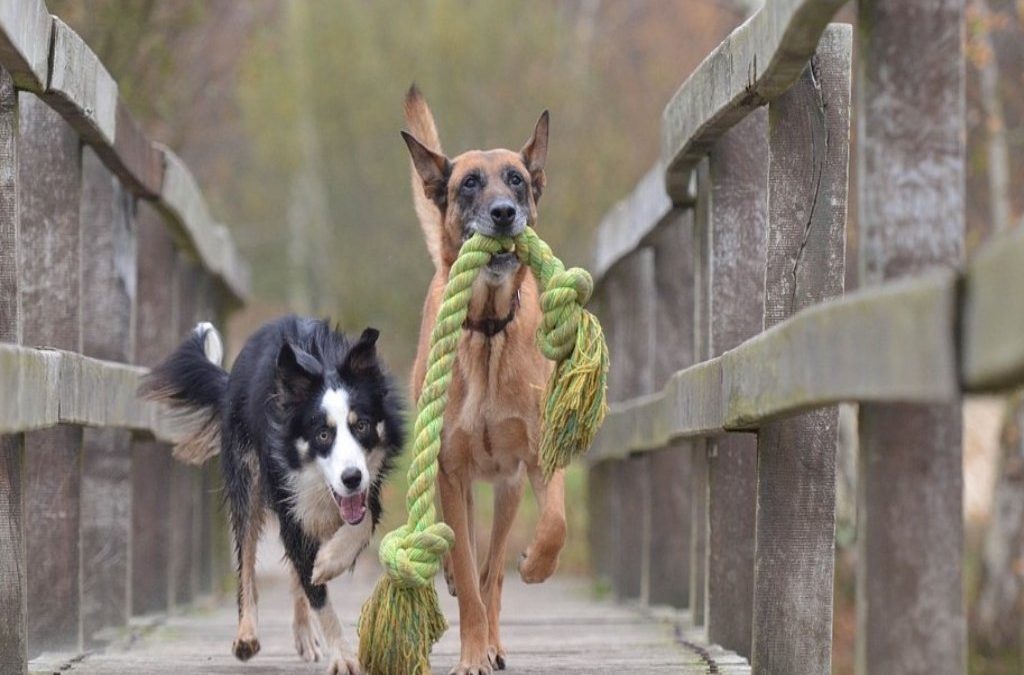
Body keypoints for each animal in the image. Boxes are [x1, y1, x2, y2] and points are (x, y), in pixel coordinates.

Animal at [141, 317, 403, 675]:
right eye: (323, 434)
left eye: (361, 426)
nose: (351, 478)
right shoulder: (289, 501)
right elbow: (316, 593)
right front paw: (343, 656)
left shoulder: (368, 488)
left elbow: (359, 524)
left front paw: (329, 561)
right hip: (246, 480)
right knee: (247, 563)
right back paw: (246, 635)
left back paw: (304, 632)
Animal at [399, 87, 569, 671]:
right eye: (469, 183)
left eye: (516, 179)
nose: (504, 213)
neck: (489, 330)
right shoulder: (450, 471)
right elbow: (470, 580)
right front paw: (471, 651)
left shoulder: (538, 457)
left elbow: (553, 526)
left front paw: (536, 565)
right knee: (468, 558)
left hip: (509, 489)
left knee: (493, 567)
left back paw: (496, 637)